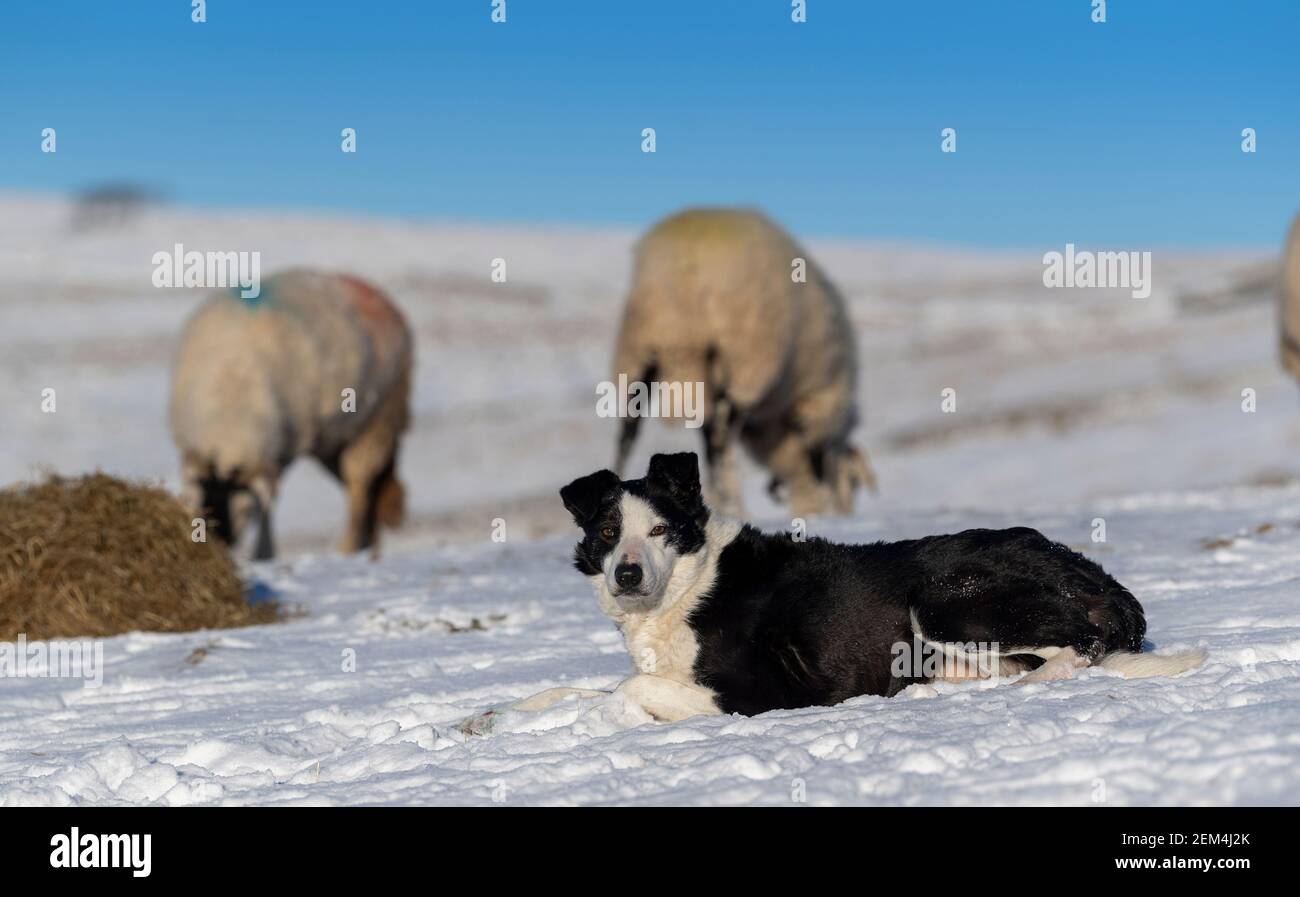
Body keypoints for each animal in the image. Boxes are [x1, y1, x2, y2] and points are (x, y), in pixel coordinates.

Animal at [169, 269, 410, 556]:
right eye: (203, 494)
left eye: (243, 501)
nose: (222, 539)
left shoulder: (281, 451)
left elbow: (270, 502)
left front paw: (264, 555)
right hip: (333, 443)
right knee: (366, 490)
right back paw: (370, 548)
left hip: (380, 419)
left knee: (360, 486)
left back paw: (349, 549)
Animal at [491, 449, 1201, 722]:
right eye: (609, 531)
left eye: (662, 529)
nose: (628, 573)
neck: (690, 587)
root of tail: (1095, 575)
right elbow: (574, 690)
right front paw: (498, 715)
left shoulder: (765, 694)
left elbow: (627, 688)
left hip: (944, 596)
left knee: (1078, 648)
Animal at [611, 206, 878, 514]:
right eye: (855, 482)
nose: (844, 513)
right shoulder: (817, 406)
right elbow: (816, 461)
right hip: (741, 359)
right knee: (720, 438)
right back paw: (734, 506)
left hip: (639, 348)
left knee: (628, 430)